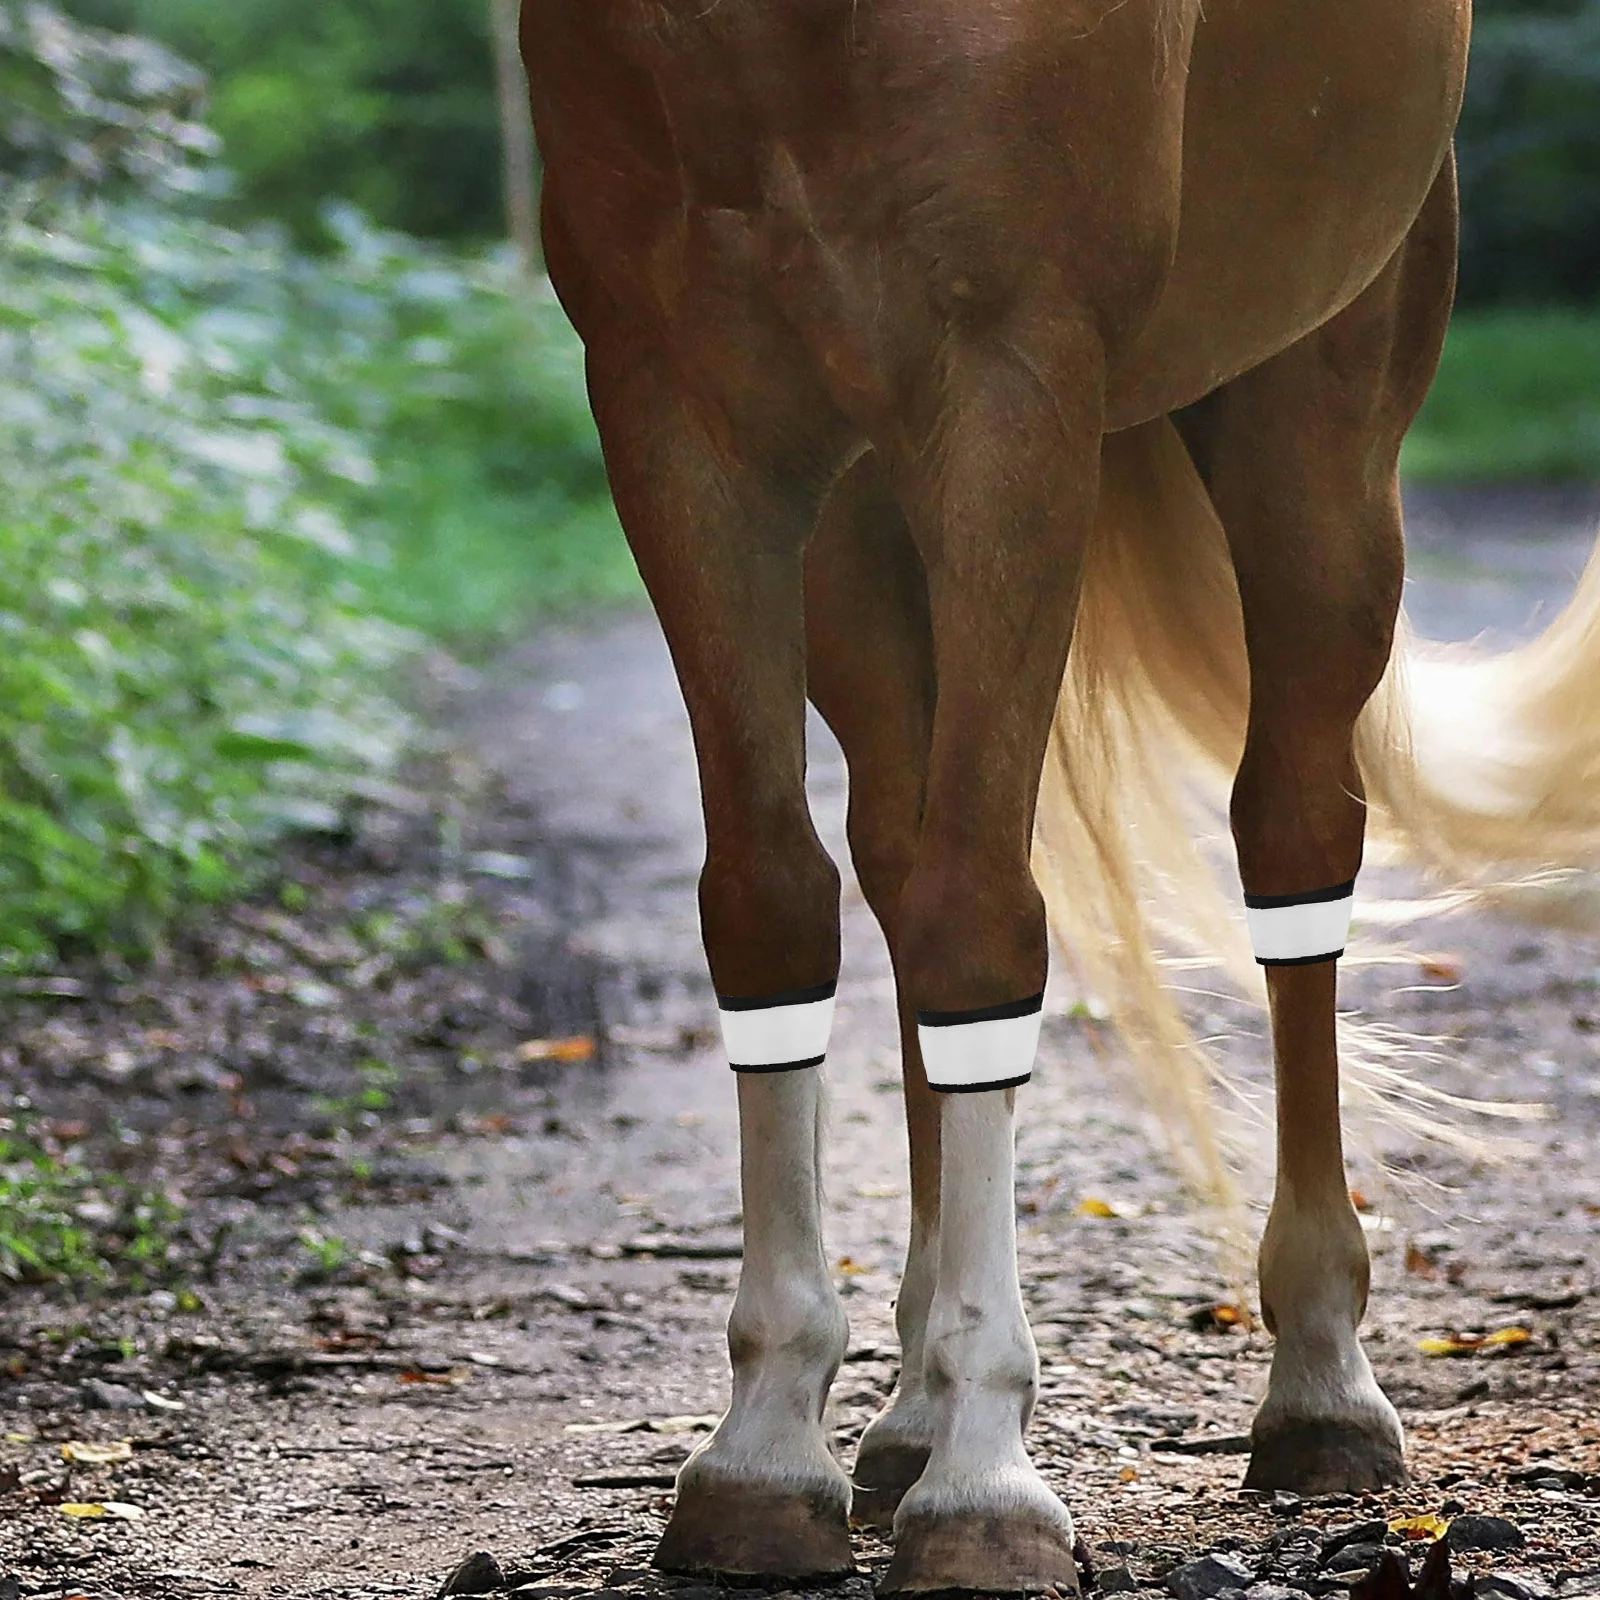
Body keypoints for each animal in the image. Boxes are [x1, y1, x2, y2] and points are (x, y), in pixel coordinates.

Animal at [517, 2, 1600, 1592]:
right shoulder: (675, 407)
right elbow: (769, 906)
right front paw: (768, 1444)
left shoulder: (1006, 387)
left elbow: (983, 923)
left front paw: (984, 1481)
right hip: (864, 519)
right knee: (897, 855)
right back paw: (902, 1418)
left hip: (1313, 432)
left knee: (1290, 831)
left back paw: (1319, 1390)